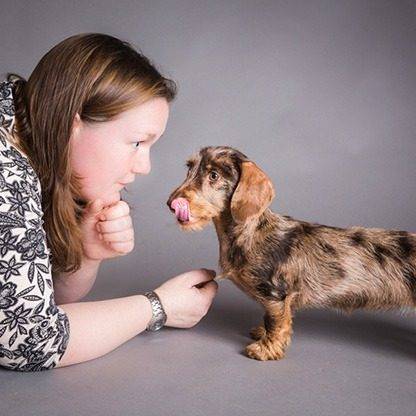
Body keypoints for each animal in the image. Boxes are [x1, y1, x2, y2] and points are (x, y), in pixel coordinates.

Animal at [167, 146, 416, 360]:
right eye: (189, 169)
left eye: (214, 175)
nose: (171, 203)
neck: (248, 233)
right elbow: (270, 320)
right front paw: (262, 334)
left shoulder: (275, 295)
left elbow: (275, 323)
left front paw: (266, 349)